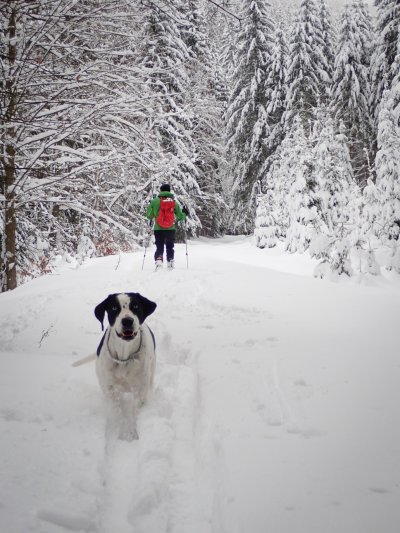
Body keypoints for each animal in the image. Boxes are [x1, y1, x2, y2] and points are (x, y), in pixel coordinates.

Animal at [94, 294, 156, 438]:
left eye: (136, 306)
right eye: (114, 308)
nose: (127, 321)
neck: (123, 357)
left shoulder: (139, 390)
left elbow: (134, 412)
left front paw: (132, 433)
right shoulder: (110, 389)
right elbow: (117, 411)